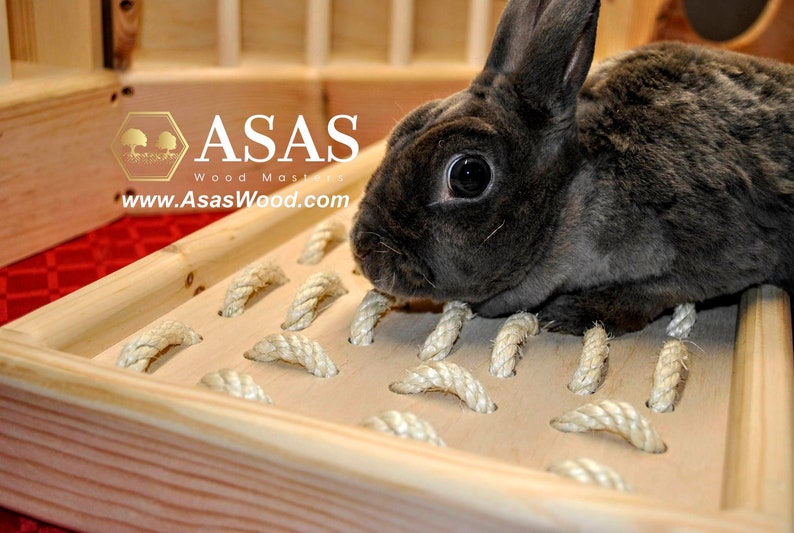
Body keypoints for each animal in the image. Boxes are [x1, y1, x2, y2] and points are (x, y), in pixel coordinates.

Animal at [350, 0, 794, 335]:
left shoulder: (720, 246)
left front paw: (569, 314)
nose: (364, 252)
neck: (571, 194)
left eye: (469, 175)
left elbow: (661, 291)